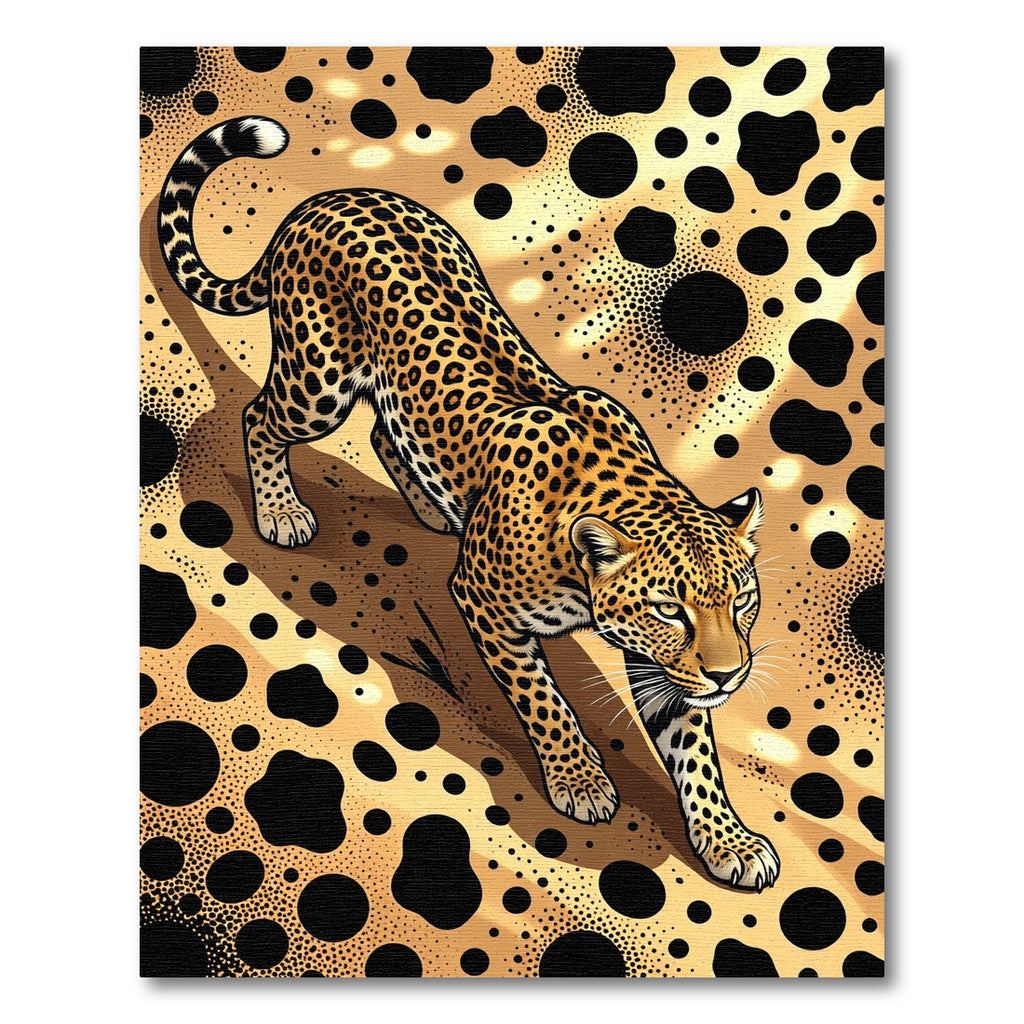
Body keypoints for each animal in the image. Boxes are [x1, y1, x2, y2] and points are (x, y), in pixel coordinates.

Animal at [158, 115, 780, 890]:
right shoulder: (485, 604)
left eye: (742, 602)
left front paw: (728, 840)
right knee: (259, 418)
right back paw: (280, 512)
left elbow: (693, 750)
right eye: (670, 609)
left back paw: (432, 507)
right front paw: (580, 781)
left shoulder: (661, 665)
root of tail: (324, 200)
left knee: (383, 426)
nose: (730, 676)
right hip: (317, 380)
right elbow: (545, 701)